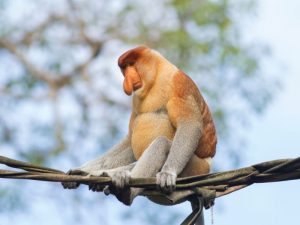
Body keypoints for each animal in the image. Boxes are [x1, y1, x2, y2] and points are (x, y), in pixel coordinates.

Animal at [62, 46, 217, 209]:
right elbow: (129, 140)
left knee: (162, 144)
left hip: (197, 169)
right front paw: (81, 170)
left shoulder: (179, 83)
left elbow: (189, 125)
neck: (156, 77)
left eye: (131, 64)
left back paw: (123, 190)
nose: (127, 79)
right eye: (124, 68)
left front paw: (168, 174)